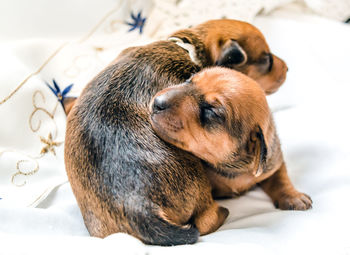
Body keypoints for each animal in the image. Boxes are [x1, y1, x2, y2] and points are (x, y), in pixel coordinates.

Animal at [64, 18, 288, 246]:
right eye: (267, 60)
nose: (287, 68)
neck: (190, 48)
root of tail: (141, 208)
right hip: (197, 178)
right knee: (205, 219)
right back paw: (222, 212)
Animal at [150, 66, 312, 211]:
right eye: (188, 80)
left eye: (211, 111)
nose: (157, 103)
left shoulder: (274, 161)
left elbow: (280, 177)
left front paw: (293, 196)